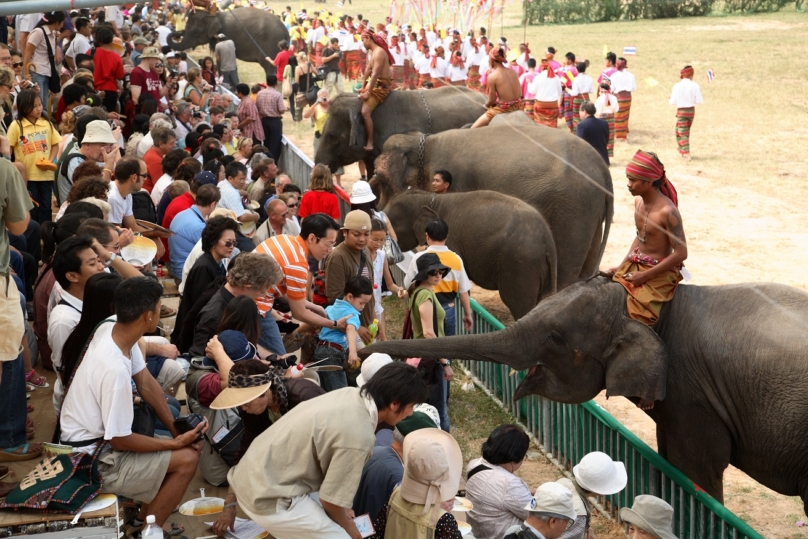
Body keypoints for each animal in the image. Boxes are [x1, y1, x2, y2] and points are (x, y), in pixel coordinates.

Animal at [372, 124, 612, 288]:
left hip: (573, 212)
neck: (425, 143)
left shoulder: (456, 183)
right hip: (589, 211)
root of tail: (603, 169)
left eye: (380, 178)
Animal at [386, 189, 556, 318]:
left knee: (517, 303)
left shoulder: (450, 242)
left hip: (520, 264)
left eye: (390, 228)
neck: (428, 197)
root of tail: (547, 240)